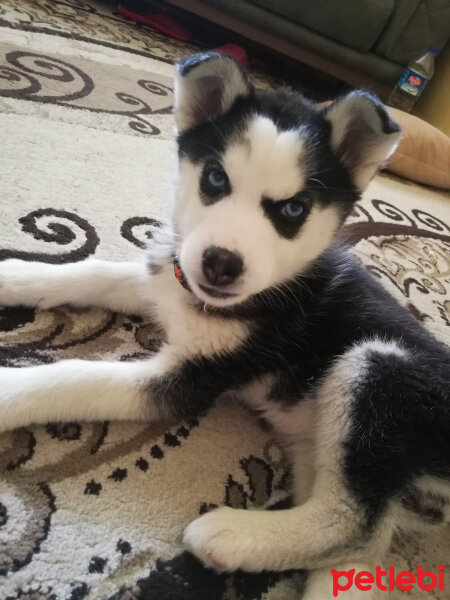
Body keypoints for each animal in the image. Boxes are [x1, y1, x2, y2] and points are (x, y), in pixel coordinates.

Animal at [0, 54, 450, 596]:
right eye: (216, 180)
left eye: (293, 209)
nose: (220, 264)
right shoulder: (166, 279)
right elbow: (93, 273)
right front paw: (14, 274)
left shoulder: (193, 377)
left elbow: (73, 376)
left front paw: (6, 391)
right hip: (317, 443)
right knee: (365, 542)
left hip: (379, 368)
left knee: (355, 524)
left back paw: (231, 535)